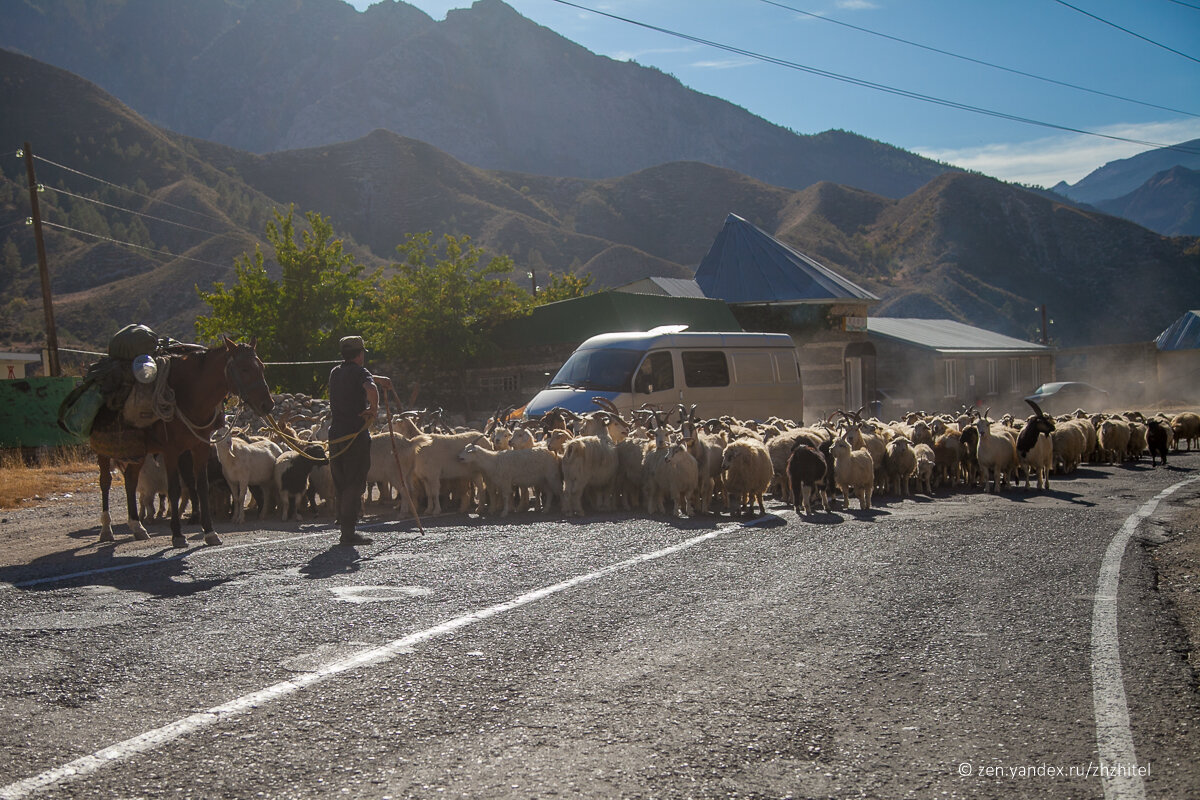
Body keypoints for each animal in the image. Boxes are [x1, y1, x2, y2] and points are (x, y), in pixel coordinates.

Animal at [91, 338, 274, 551]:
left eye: (262, 367)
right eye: (244, 369)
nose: (267, 405)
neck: (190, 397)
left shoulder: (200, 447)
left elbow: (201, 486)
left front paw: (210, 532)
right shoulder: (171, 451)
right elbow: (174, 490)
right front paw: (178, 535)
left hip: (138, 451)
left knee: (130, 481)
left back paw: (137, 527)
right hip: (104, 449)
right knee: (105, 482)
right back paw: (106, 529)